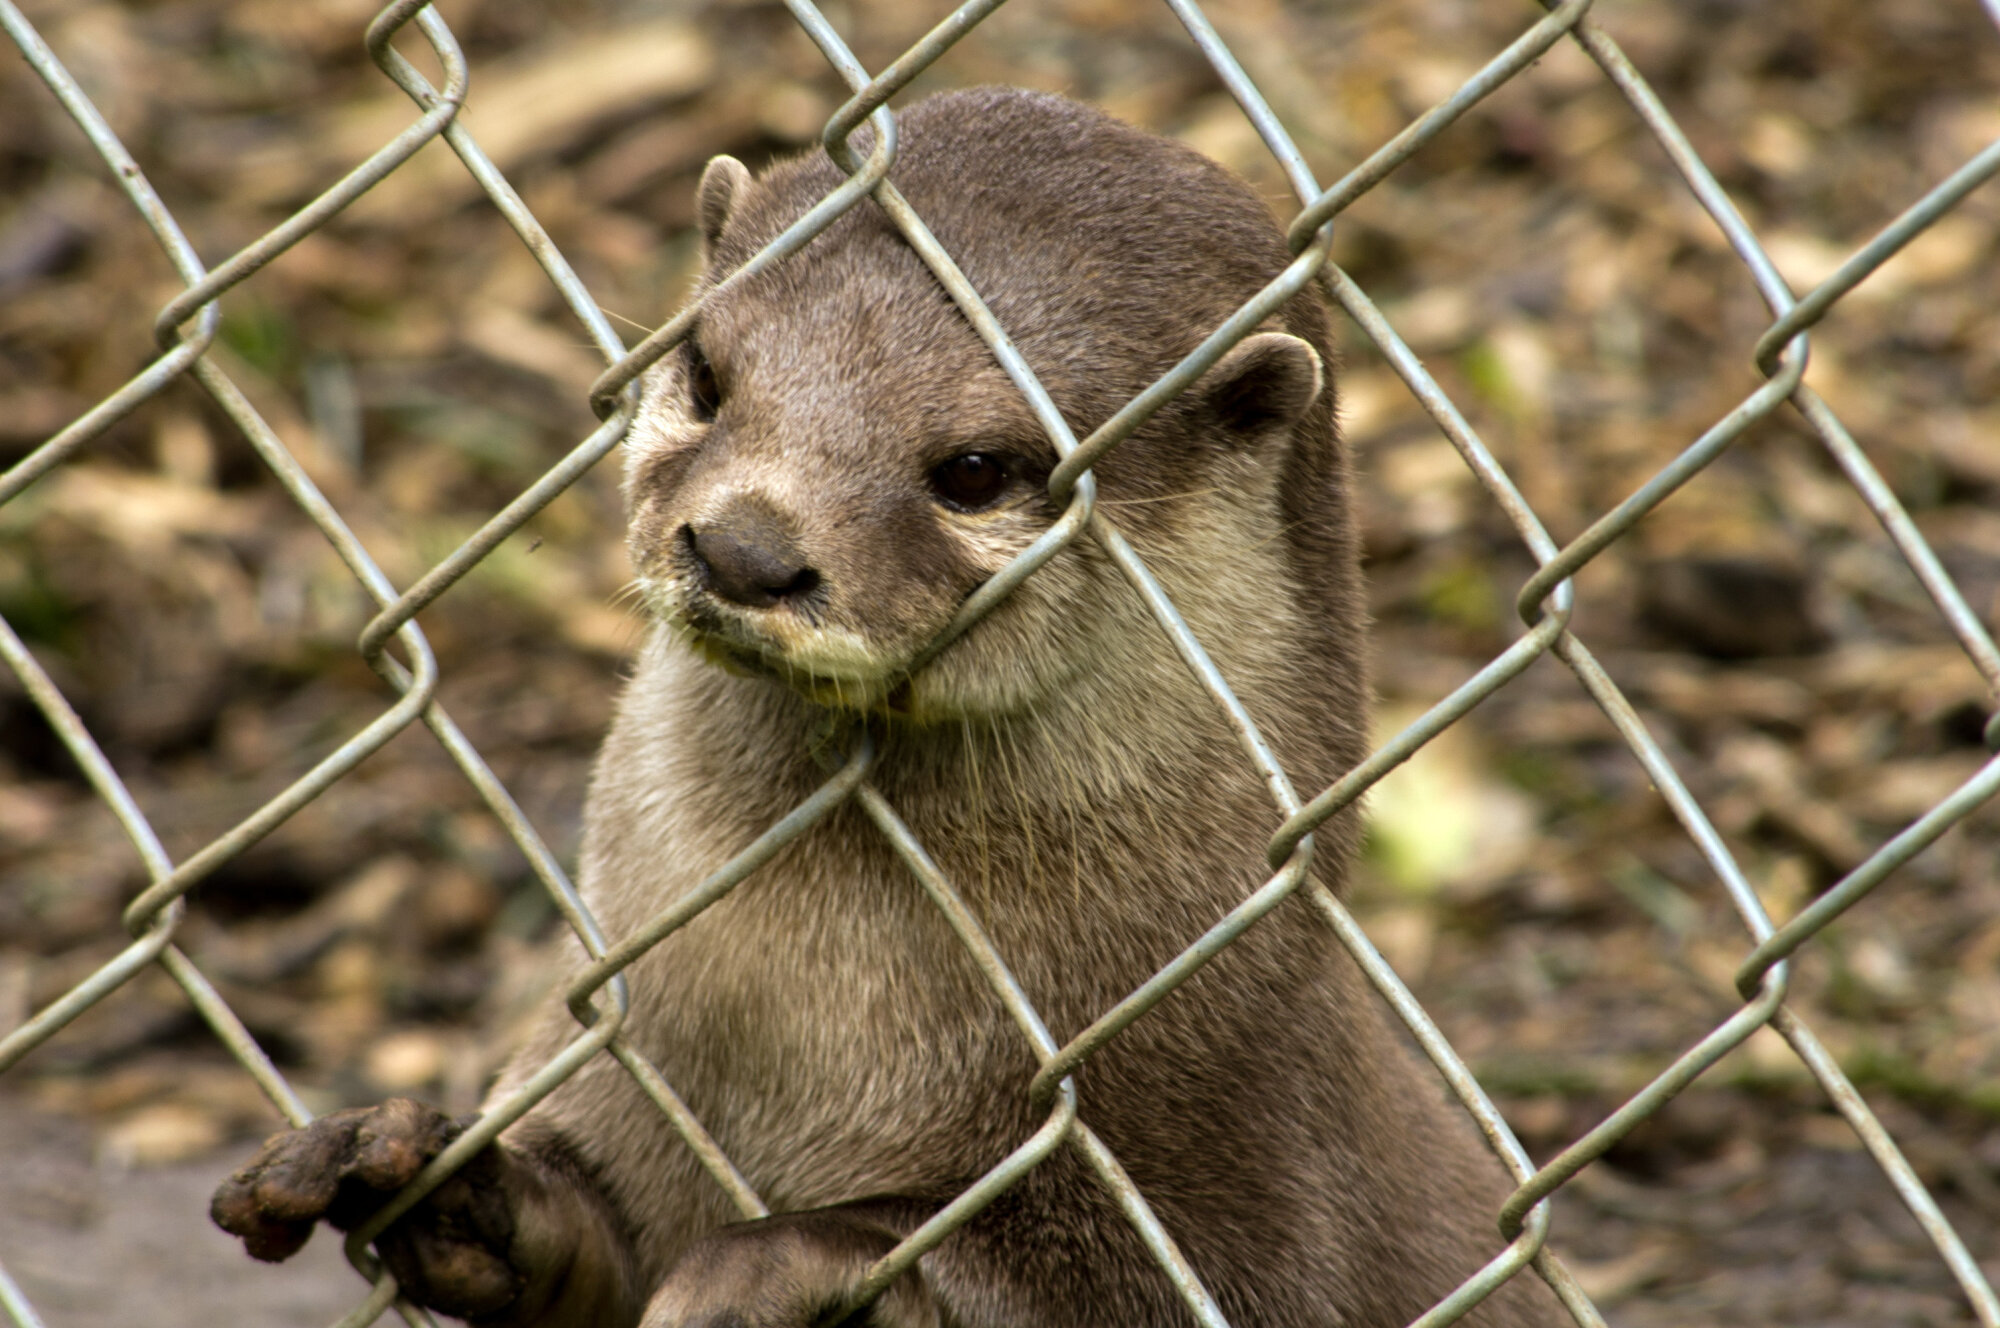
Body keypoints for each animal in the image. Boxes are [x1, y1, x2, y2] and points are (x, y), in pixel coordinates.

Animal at [211, 88, 1559, 1327]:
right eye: (705, 373)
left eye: (974, 470)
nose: (745, 548)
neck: (808, 1025)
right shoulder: (631, 1078)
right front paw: (424, 1172)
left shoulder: (1250, 1181)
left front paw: (785, 1259)